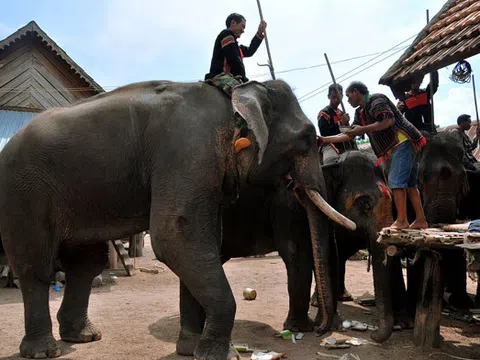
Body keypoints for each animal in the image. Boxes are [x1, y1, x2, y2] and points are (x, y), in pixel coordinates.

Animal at [0, 79, 354, 360]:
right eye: (308, 138)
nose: (321, 329)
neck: (235, 96)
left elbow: (199, 246)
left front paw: (191, 350)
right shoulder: (189, 154)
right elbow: (175, 238)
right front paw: (220, 354)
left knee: (86, 264)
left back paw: (84, 336)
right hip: (25, 193)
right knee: (36, 267)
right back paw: (44, 351)